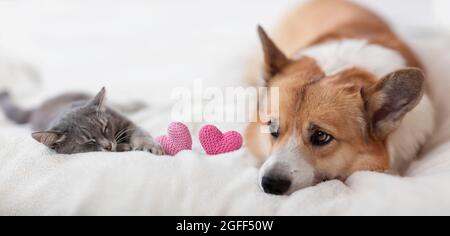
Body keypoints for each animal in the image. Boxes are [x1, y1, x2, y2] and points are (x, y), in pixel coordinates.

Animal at [0, 86, 164, 155]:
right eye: (89, 141)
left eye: (105, 128)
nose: (109, 145)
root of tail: (37, 107)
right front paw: (123, 147)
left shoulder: (127, 123)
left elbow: (141, 134)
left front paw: (150, 145)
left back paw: (135, 104)